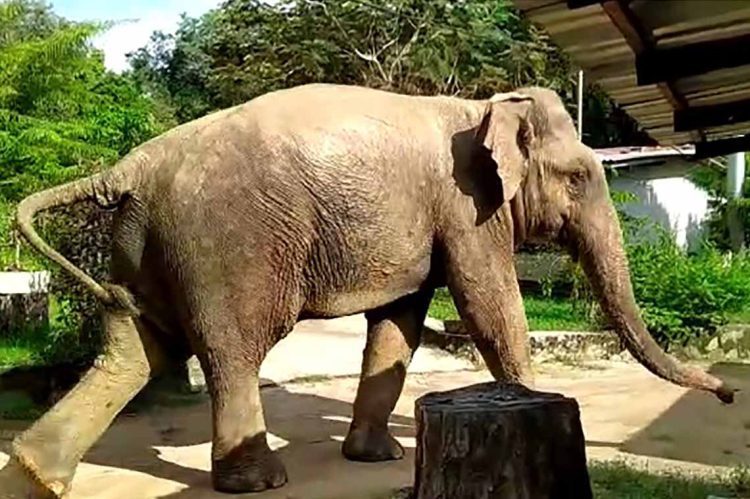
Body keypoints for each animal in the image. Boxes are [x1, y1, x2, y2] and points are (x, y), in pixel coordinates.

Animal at [0, 83, 734, 497]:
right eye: (580, 179)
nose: (729, 393)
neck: (484, 104)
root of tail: (133, 165)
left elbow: (399, 325)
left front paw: (377, 457)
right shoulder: (466, 208)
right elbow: (489, 301)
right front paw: (535, 401)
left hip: (143, 246)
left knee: (133, 349)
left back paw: (36, 477)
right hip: (223, 245)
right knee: (233, 350)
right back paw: (259, 482)